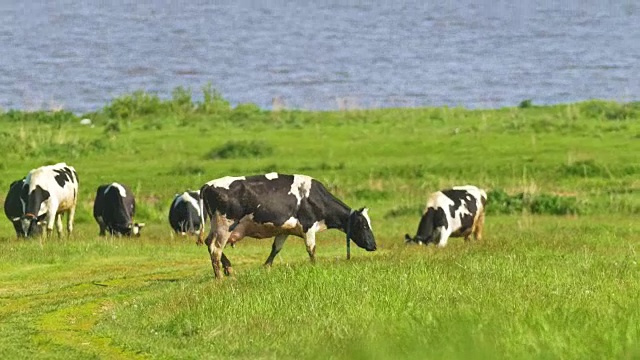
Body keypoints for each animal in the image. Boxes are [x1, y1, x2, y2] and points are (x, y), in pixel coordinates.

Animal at [196, 172, 376, 278]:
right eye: (364, 226)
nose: (374, 246)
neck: (313, 197)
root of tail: (208, 185)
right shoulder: (308, 226)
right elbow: (311, 249)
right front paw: (315, 267)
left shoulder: (284, 230)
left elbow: (276, 249)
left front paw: (266, 267)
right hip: (224, 226)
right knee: (215, 248)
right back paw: (219, 277)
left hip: (217, 226)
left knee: (209, 243)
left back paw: (229, 269)